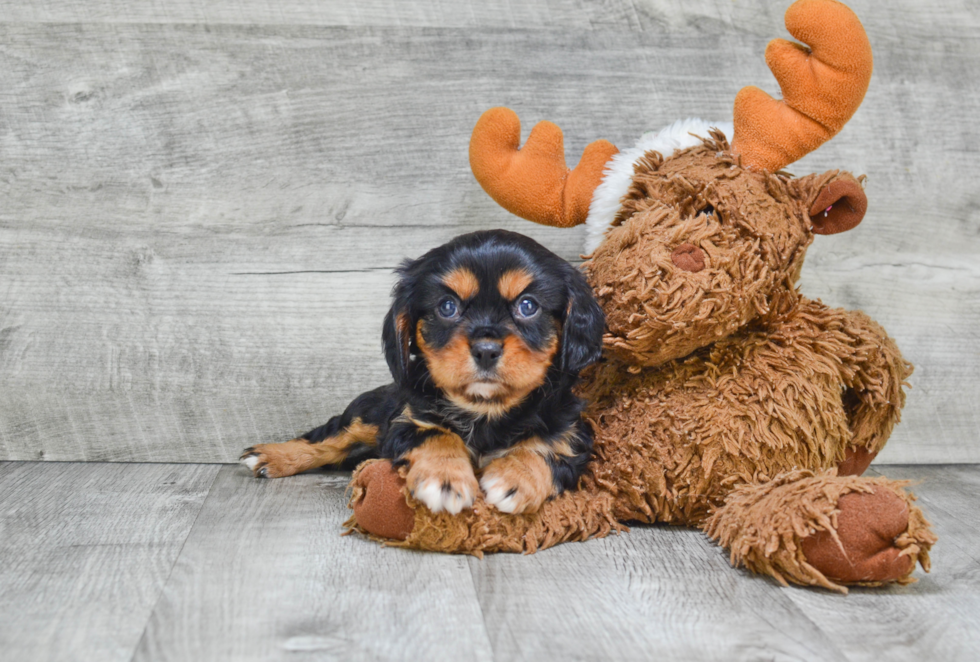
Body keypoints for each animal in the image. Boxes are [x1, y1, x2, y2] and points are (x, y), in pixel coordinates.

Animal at [238, 231, 604, 516]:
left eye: (528, 306)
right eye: (447, 307)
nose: (486, 349)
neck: (484, 409)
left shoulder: (572, 433)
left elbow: (545, 447)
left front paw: (516, 479)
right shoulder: (405, 420)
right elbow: (436, 434)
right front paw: (444, 480)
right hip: (368, 413)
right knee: (330, 437)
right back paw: (272, 455)